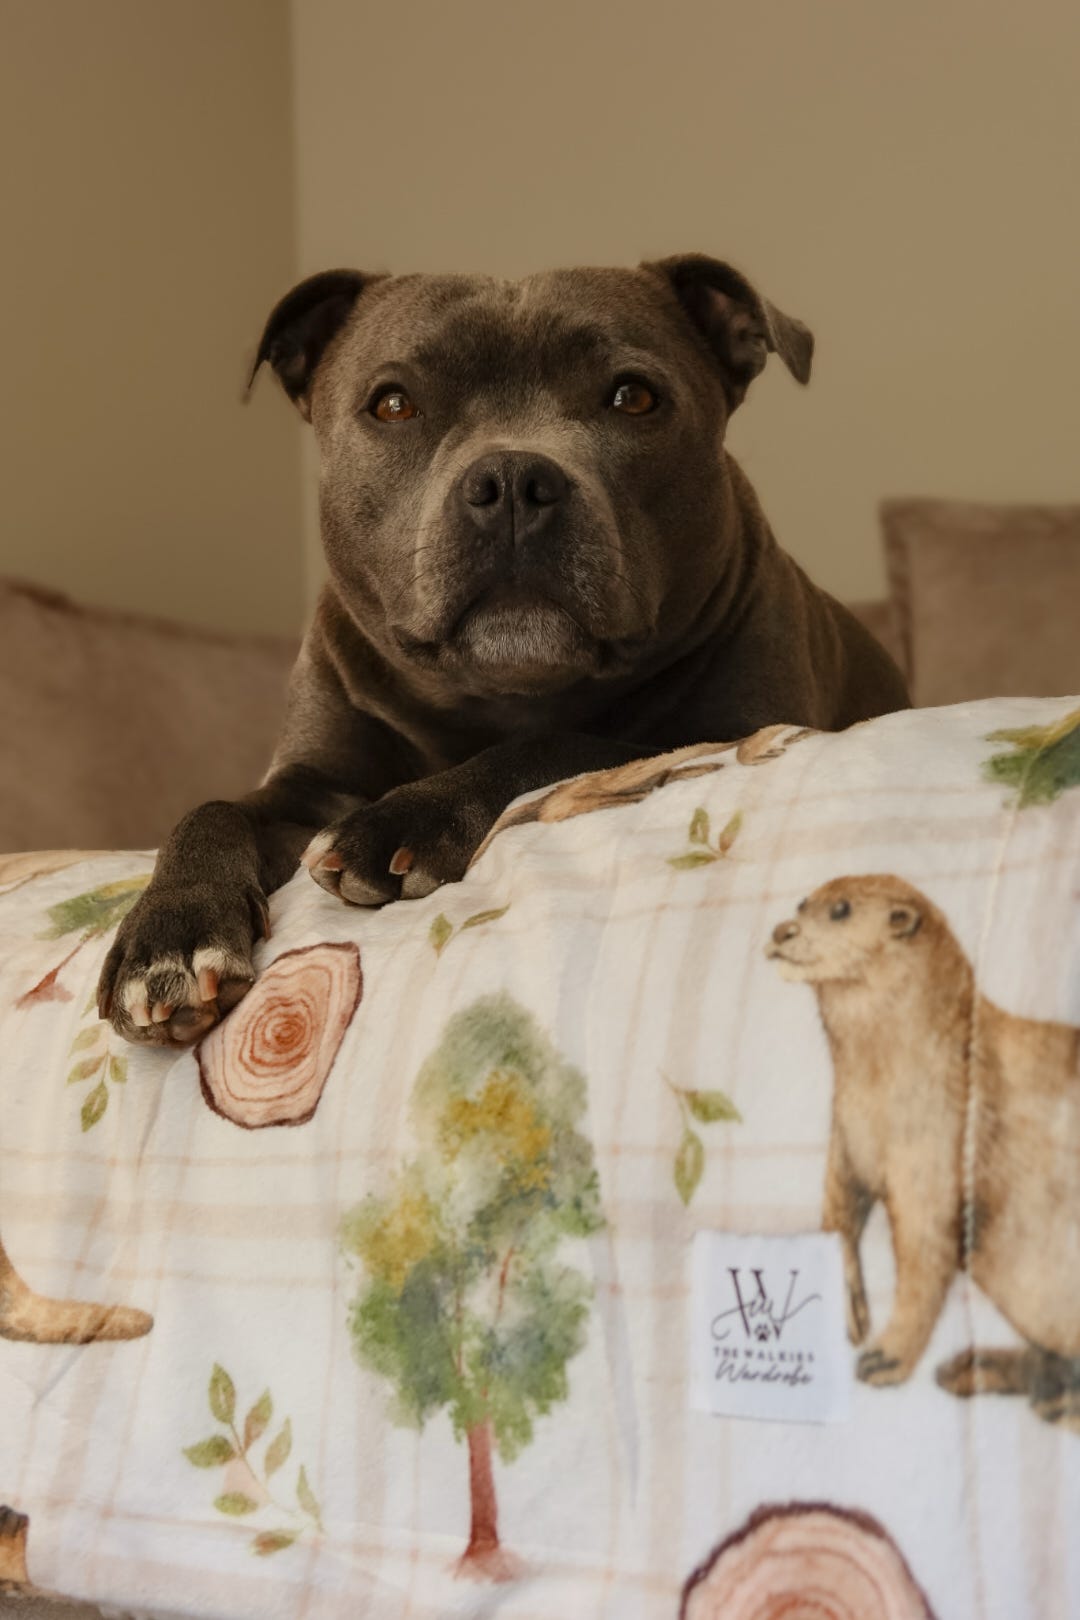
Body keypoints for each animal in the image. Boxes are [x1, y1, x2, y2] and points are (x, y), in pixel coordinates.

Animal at [766, 874, 1080, 1424]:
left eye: (841, 910)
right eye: (802, 903)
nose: (783, 930)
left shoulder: (934, 1159)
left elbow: (922, 1266)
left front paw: (887, 1356)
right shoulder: (846, 1142)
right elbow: (836, 1221)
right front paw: (850, 1314)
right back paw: (979, 1369)